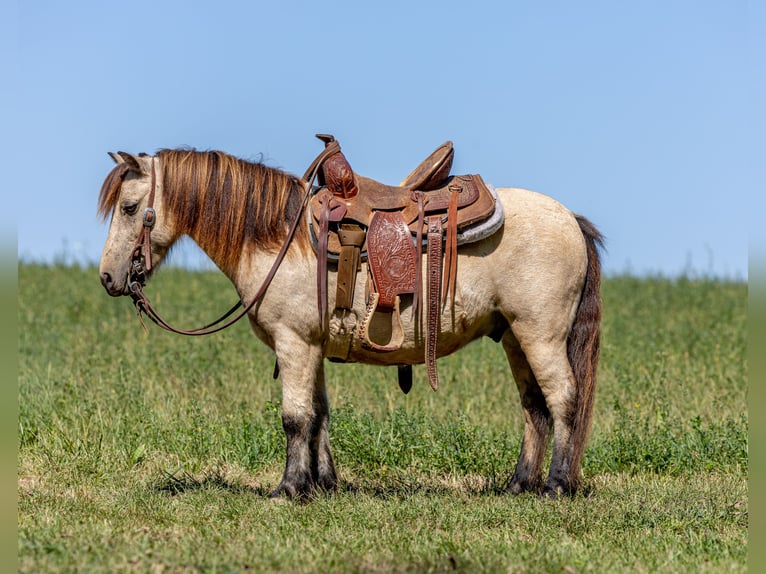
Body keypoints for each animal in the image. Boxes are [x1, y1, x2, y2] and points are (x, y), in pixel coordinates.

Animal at [97, 146, 603, 498]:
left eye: (129, 207)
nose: (107, 277)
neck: (278, 236)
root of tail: (571, 219)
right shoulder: (312, 346)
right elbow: (319, 414)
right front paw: (323, 484)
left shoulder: (293, 343)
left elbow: (294, 418)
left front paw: (289, 489)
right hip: (515, 338)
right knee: (534, 407)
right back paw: (519, 485)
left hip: (541, 335)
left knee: (563, 399)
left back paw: (556, 485)